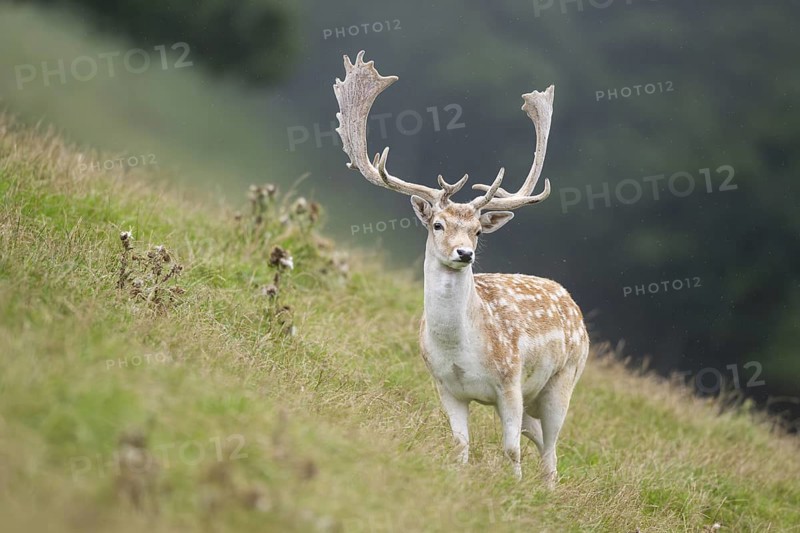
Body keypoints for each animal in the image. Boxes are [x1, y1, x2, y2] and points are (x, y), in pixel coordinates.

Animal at [333, 51, 589, 488]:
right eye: (438, 224)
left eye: (477, 230)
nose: (464, 253)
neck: (460, 350)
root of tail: (571, 301)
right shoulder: (445, 386)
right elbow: (460, 445)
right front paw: (460, 478)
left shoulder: (509, 382)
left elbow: (510, 450)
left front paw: (514, 488)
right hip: (536, 398)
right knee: (542, 439)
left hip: (564, 379)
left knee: (552, 449)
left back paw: (547, 489)